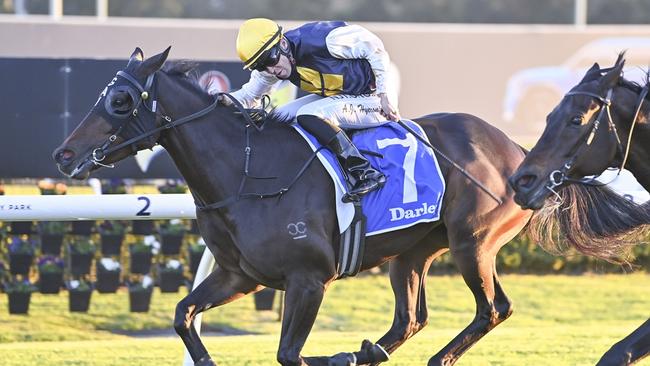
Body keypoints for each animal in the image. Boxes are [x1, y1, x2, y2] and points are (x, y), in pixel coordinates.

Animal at [54, 47, 632, 364]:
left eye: (120, 101)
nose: (64, 155)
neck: (246, 172)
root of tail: (518, 151)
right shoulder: (241, 275)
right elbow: (182, 314)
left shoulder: (309, 280)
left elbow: (289, 354)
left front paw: (334, 355)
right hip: (411, 253)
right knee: (410, 320)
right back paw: (370, 350)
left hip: (474, 243)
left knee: (493, 309)